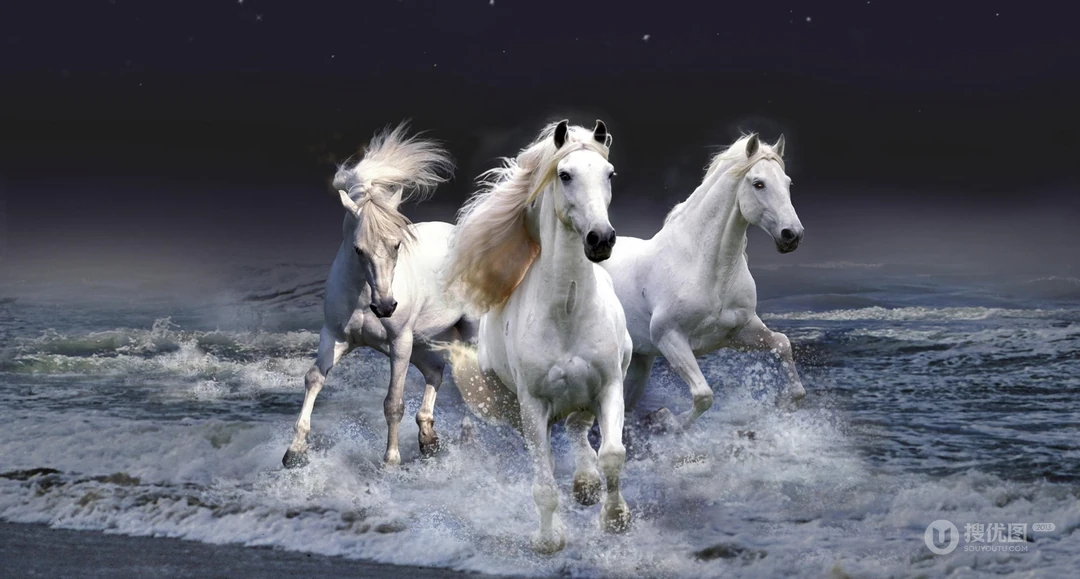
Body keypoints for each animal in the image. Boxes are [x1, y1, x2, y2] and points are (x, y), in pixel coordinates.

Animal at [282, 122, 478, 468]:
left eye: (397, 244)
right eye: (358, 249)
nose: (385, 307)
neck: (363, 297)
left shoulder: (399, 343)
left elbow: (393, 402)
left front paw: (391, 461)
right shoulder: (335, 337)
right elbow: (314, 378)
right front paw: (294, 451)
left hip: (463, 333)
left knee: (466, 378)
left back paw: (465, 438)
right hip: (422, 340)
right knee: (436, 371)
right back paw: (428, 439)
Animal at [440, 120, 633, 555]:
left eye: (610, 174)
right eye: (565, 175)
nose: (601, 239)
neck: (568, 312)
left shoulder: (610, 385)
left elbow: (612, 454)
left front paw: (615, 518)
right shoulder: (533, 405)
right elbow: (544, 483)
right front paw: (548, 540)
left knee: (578, 429)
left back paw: (586, 484)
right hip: (514, 406)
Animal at [600, 133, 806, 432]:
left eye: (788, 183)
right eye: (758, 183)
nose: (792, 235)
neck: (707, 269)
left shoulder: (738, 332)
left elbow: (782, 344)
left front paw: (785, 403)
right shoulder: (670, 338)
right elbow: (703, 395)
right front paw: (666, 419)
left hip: (639, 361)